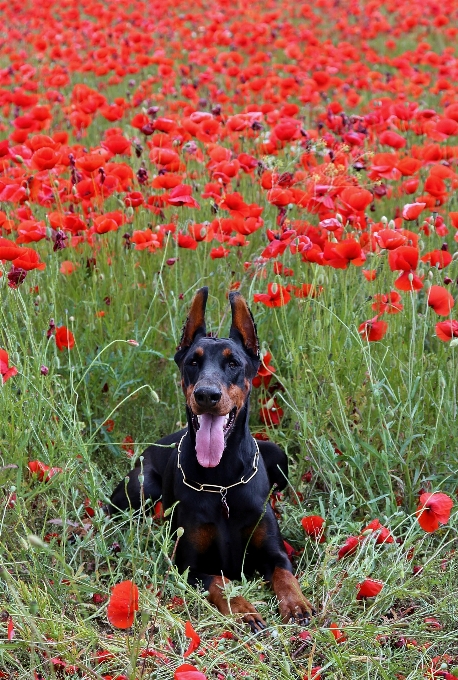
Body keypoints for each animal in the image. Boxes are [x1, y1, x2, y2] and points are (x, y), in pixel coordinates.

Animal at [112, 286, 314, 628]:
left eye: (234, 363)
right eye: (193, 361)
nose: (207, 395)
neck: (222, 483)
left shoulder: (276, 553)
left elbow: (285, 575)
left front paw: (297, 604)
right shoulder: (189, 566)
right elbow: (221, 581)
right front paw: (244, 609)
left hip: (276, 453)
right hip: (140, 487)